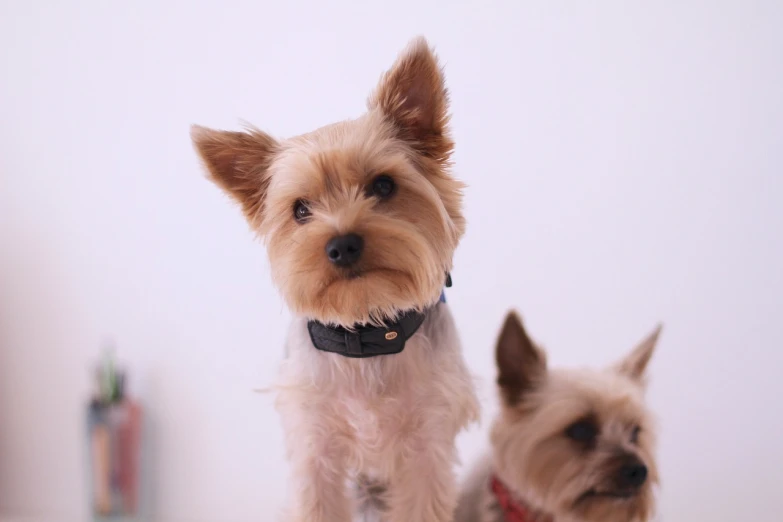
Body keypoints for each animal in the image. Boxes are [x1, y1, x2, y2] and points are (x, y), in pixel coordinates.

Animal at [193, 37, 480, 520]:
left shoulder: (428, 445)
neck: (367, 331)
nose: (342, 245)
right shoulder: (315, 447)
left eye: (383, 185)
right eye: (300, 210)